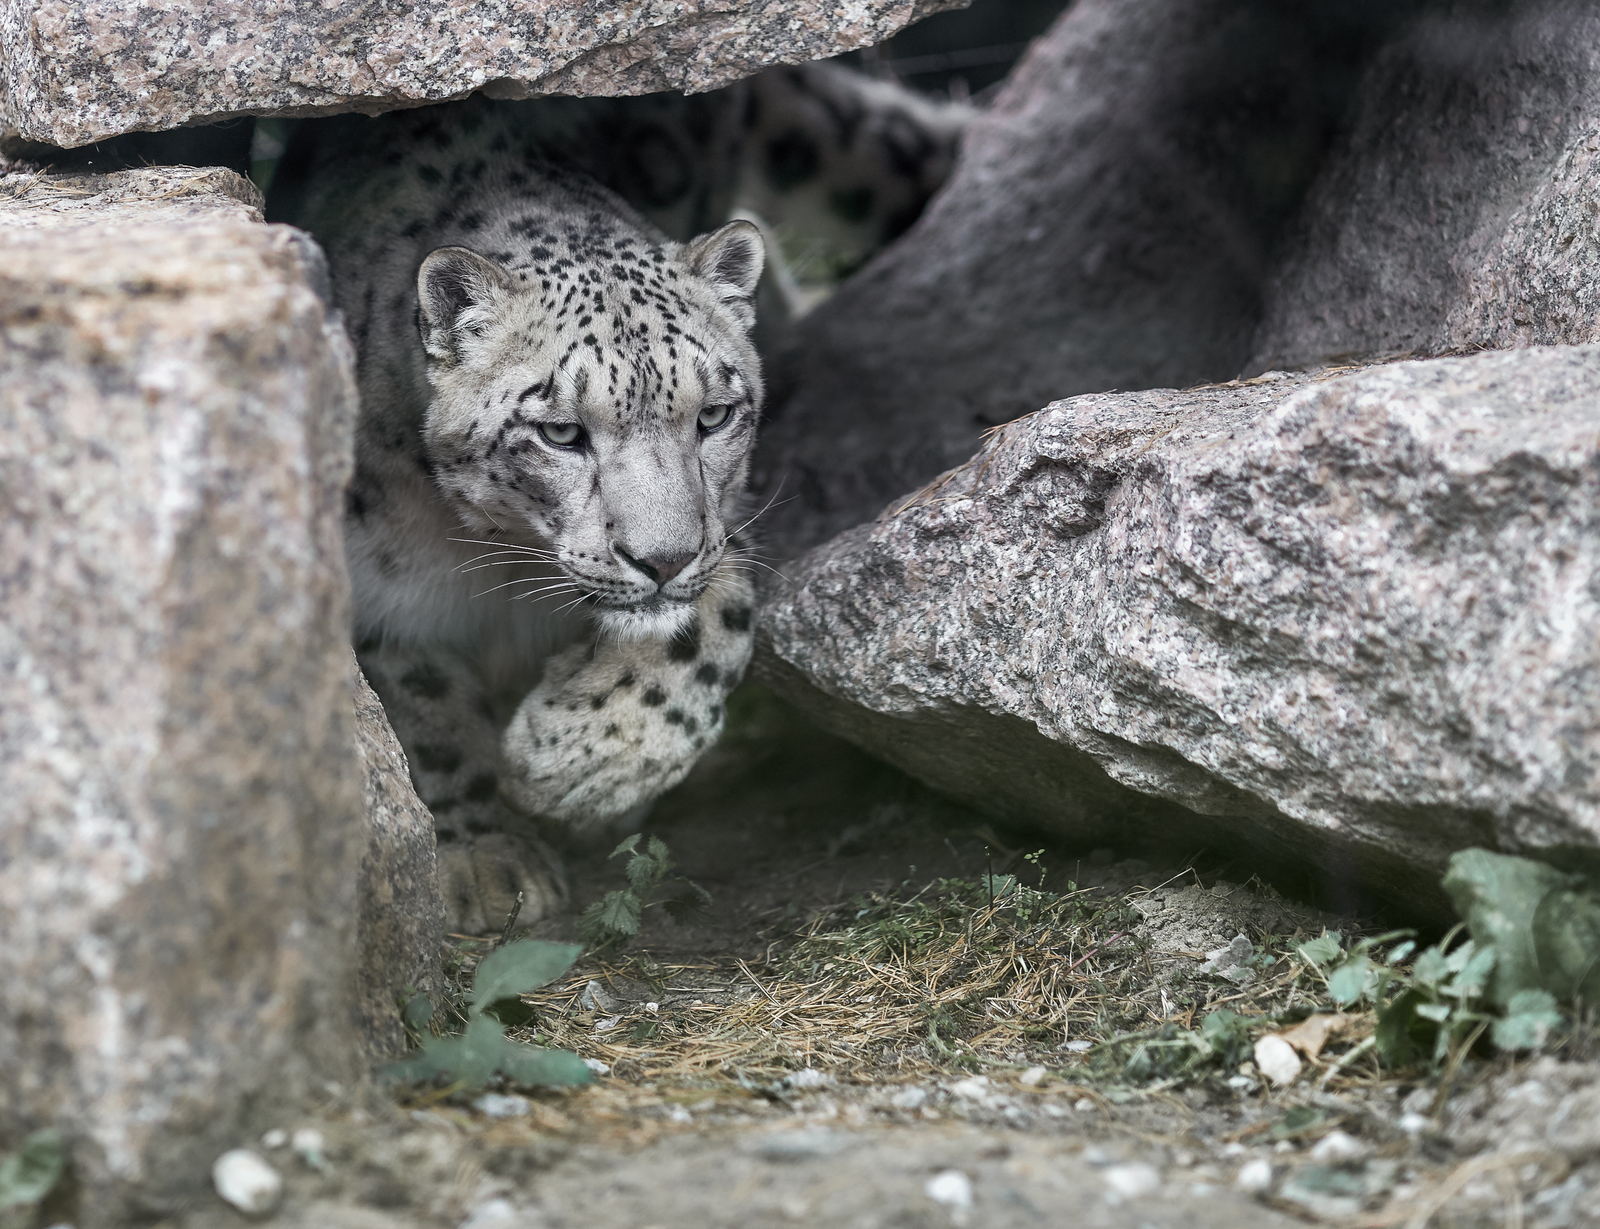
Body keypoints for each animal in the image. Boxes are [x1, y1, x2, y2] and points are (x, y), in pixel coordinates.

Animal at [265, 67, 960, 934]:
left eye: (714, 415)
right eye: (561, 432)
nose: (662, 559)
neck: (500, 566)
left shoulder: (724, 534)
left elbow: (709, 623)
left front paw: (577, 763)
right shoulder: (378, 597)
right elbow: (421, 712)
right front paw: (486, 854)